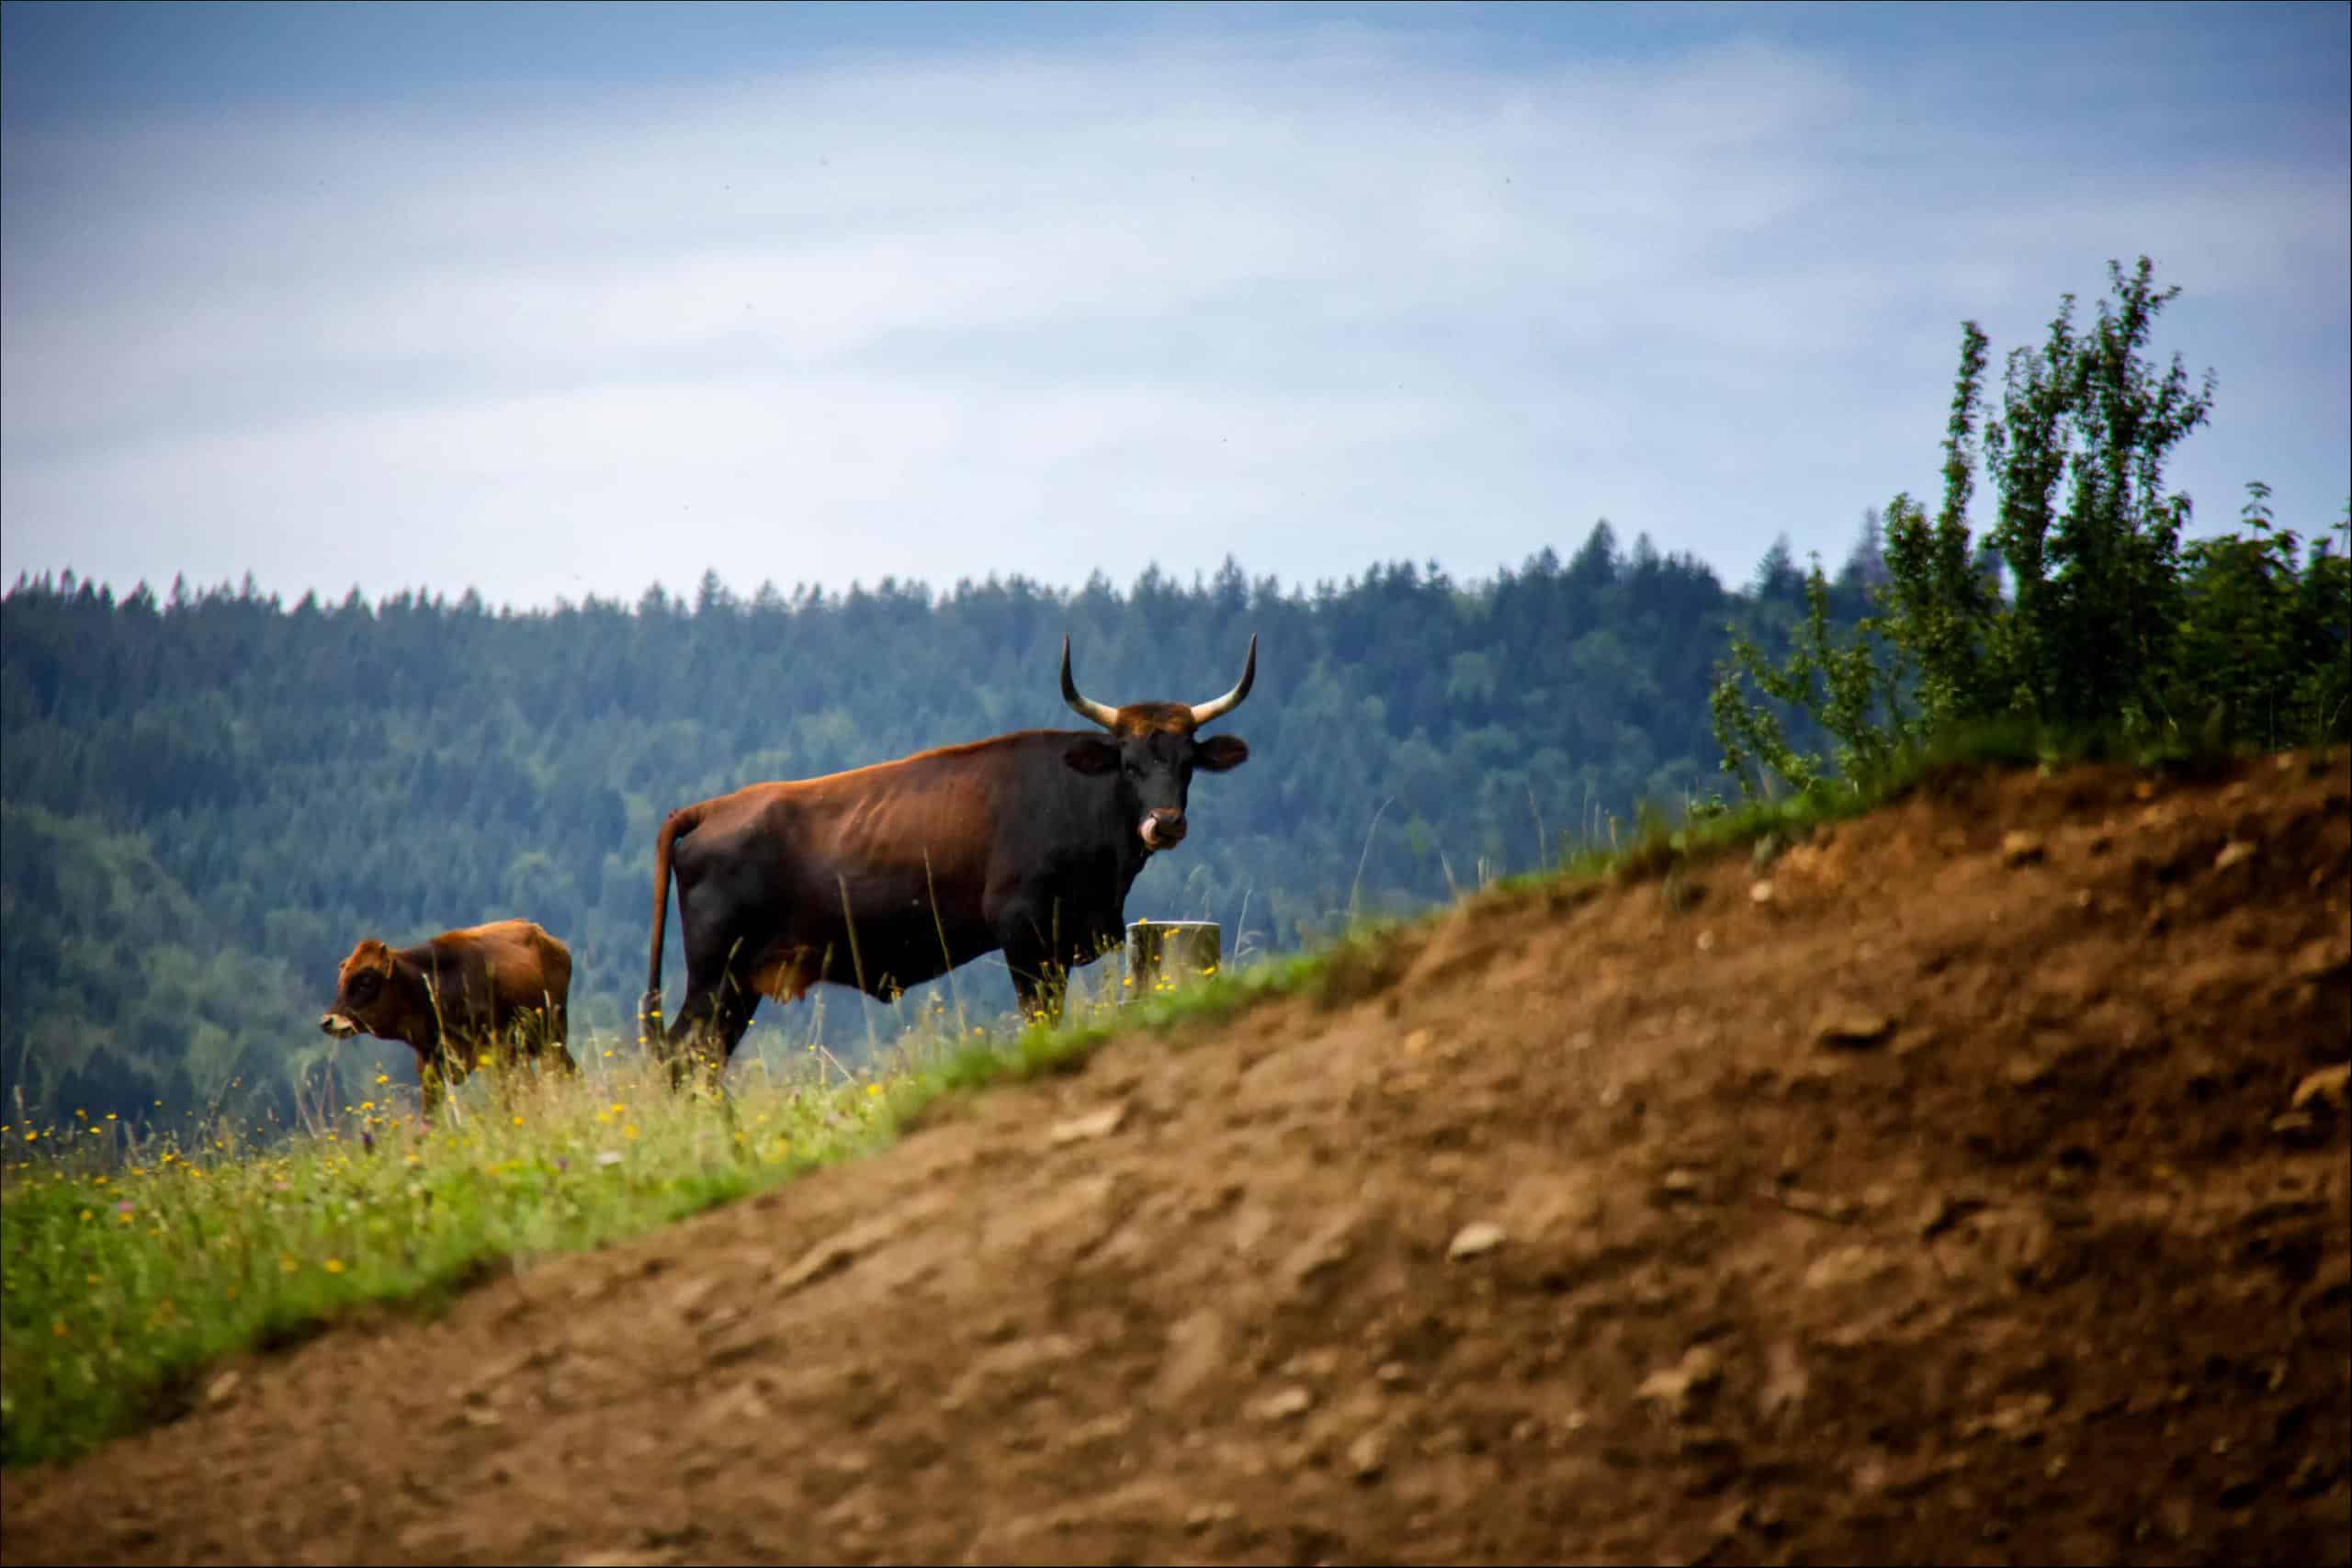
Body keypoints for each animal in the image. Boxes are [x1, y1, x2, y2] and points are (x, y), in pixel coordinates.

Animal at [320, 911, 576, 1123]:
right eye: (341, 980)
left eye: (366, 980)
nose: (327, 1021)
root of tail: (543, 935)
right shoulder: (429, 1065)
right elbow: (429, 1117)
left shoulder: (498, 1054)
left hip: (551, 1039)